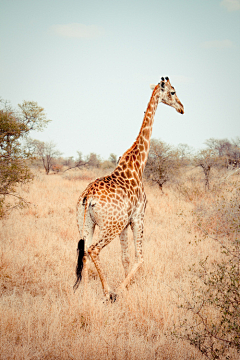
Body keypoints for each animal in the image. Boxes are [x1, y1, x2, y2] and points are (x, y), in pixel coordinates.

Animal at [74, 76, 185, 300]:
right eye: (173, 92)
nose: (182, 108)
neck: (137, 165)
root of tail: (88, 196)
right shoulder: (138, 217)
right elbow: (139, 257)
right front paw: (122, 289)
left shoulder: (126, 224)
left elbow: (125, 257)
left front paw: (128, 287)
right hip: (111, 226)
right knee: (93, 250)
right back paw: (108, 292)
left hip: (86, 224)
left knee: (84, 252)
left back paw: (86, 293)